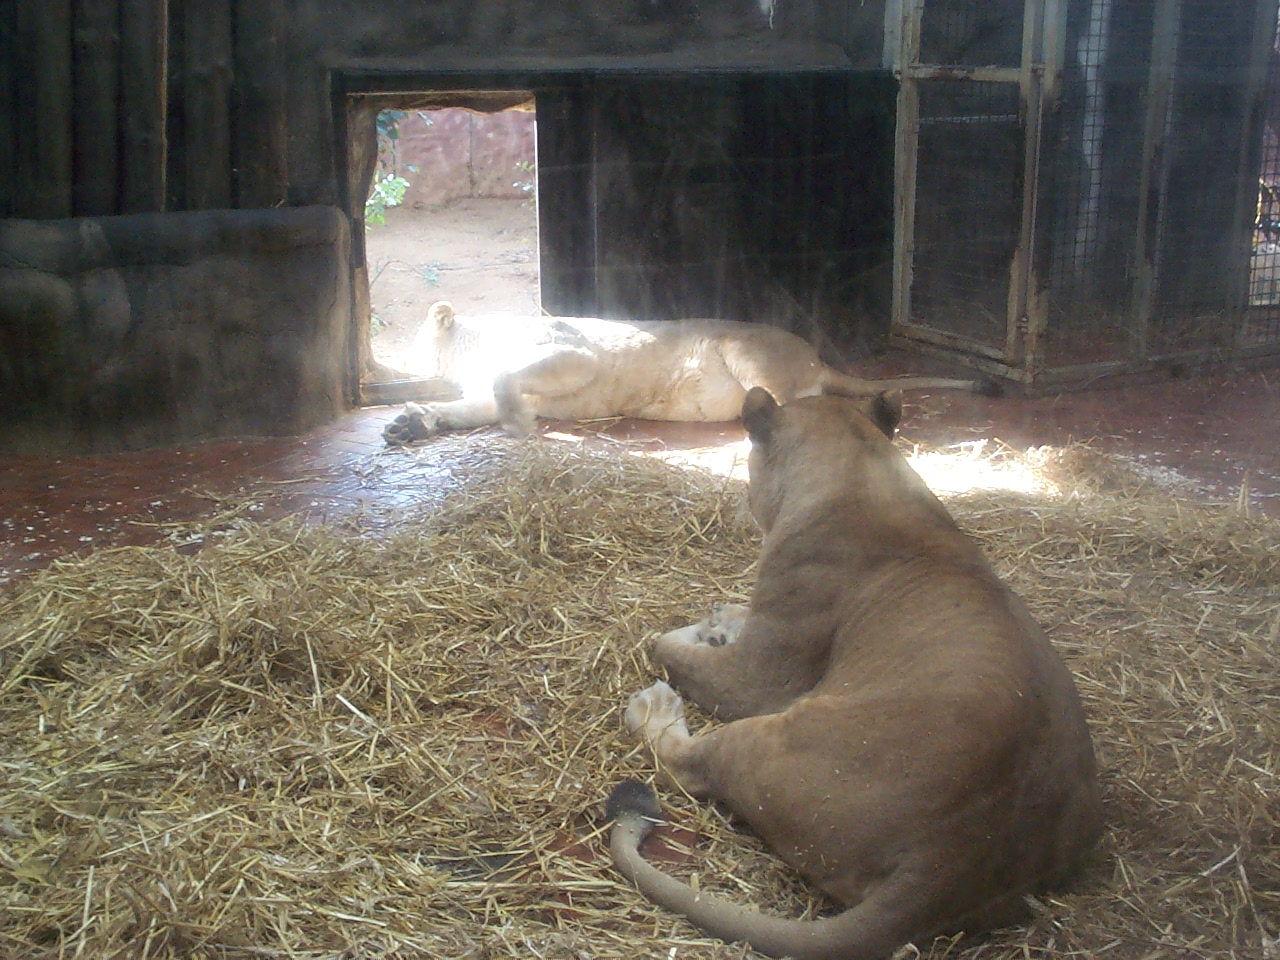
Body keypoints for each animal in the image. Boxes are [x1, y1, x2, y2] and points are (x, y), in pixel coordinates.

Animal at [609, 387, 1102, 960]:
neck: (859, 470)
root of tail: (954, 859)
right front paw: (720, 621)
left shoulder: (758, 680)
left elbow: (665, 645)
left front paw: (697, 631)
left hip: (769, 738)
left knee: (688, 765)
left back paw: (653, 708)